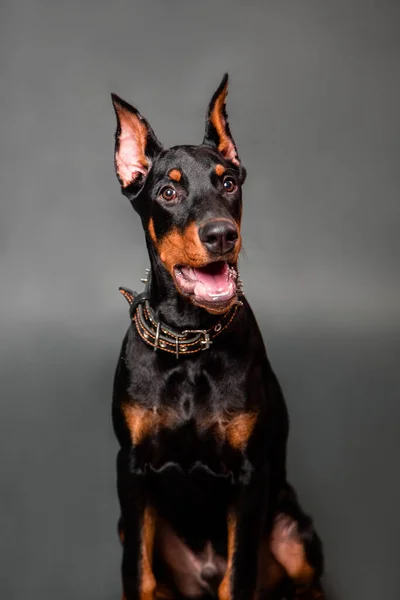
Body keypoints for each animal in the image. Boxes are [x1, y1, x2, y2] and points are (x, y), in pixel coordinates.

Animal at [110, 75, 324, 600]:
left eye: (228, 182)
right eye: (168, 191)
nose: (221, 234)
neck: (190, 345)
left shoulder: (249, 477)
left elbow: (238, 576)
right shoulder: (131, 469)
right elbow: (138, 574)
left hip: (292, 528)